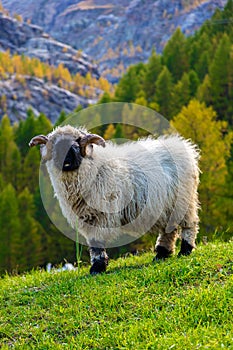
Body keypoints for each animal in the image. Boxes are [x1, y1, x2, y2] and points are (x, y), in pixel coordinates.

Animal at [29, 124, 200, 274]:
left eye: (77, 142)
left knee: (189, 225)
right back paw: (162, 254)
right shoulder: (88, 218)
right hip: (165, 206)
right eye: (55, 145)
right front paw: (97, 267)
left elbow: (97, 242)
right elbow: (93, 243)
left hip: (184, 200)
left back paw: (185, 250)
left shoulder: (101, 215)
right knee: (169, 230)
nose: (66, 160)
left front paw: (97, 268)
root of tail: (184, 146)